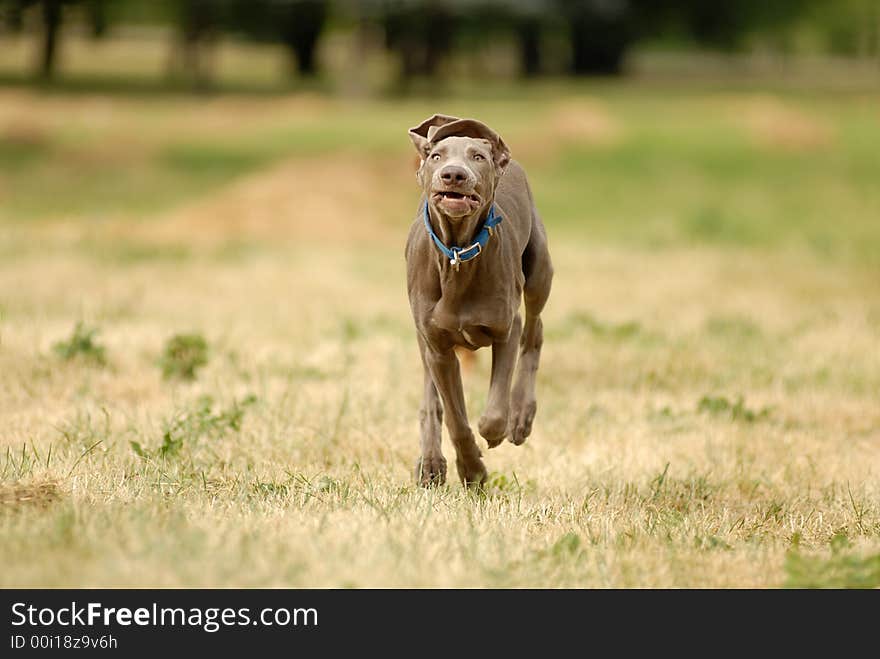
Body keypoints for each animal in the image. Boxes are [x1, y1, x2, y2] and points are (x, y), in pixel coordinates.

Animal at [404, 113, 552, 488]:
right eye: (436, 156)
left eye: (478, 157)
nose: (454, 175)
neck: (458, 254)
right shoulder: (439, 349)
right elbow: (455, 418)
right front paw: (471, 470)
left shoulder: (505, 329)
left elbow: (493, 412)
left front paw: (495, 435)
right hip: (422, 338)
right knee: (430, 399)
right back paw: (430, 463)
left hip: (539, 269)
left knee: (535, 331)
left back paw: (522, 417)